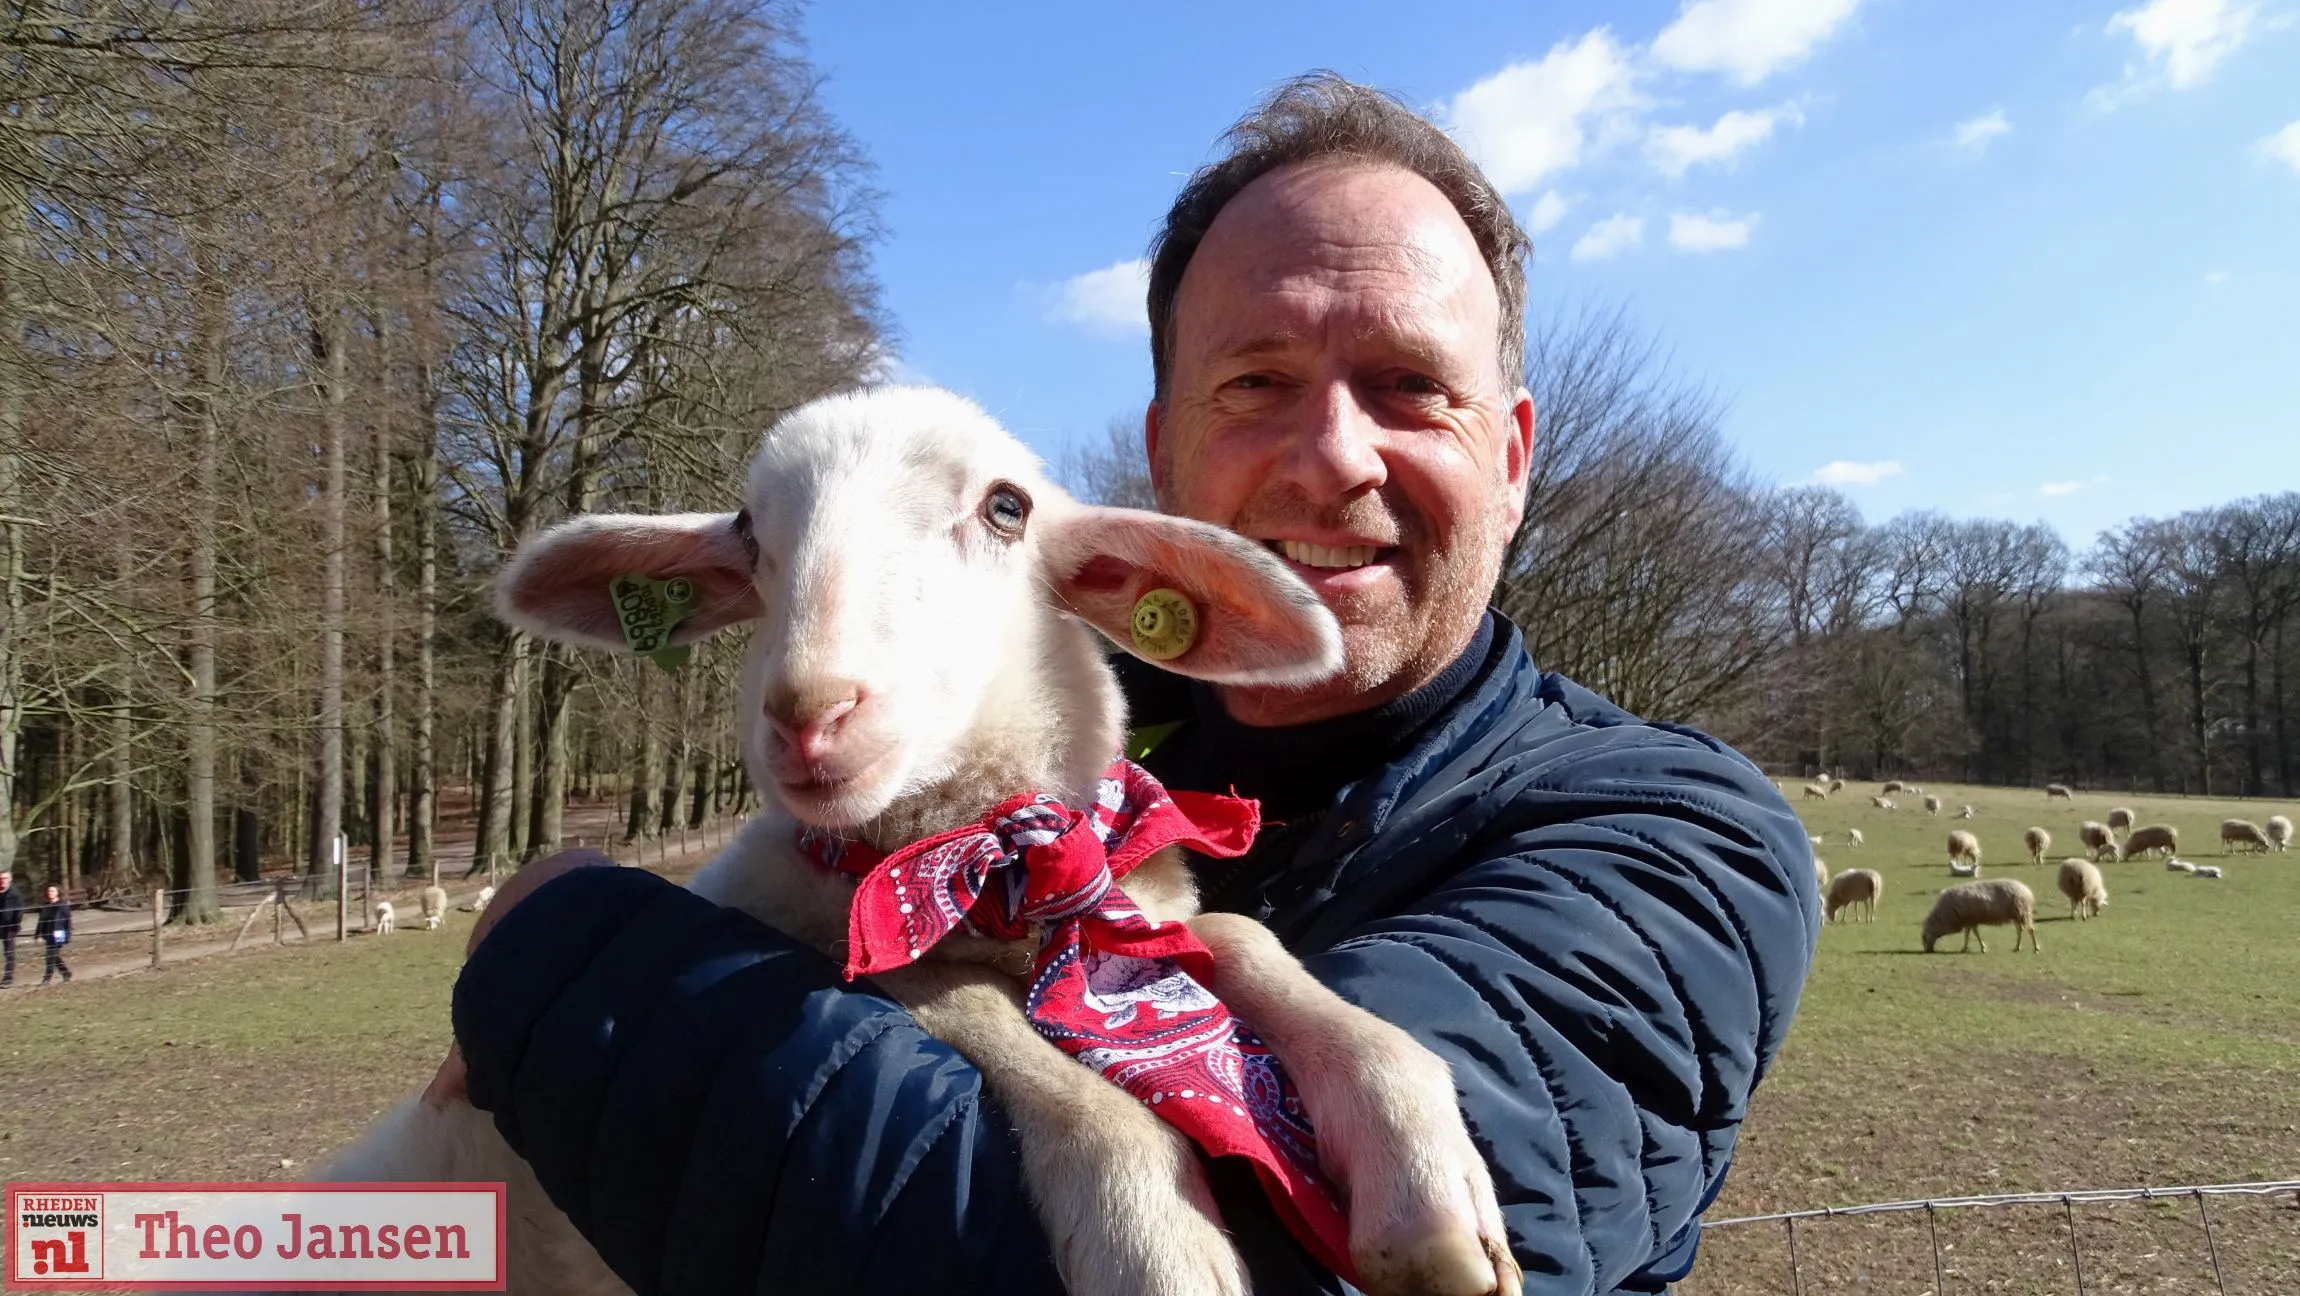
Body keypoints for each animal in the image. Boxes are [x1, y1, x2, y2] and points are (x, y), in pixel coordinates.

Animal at [1913, 883, 2042, 953]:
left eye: (1924, 937)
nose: (1926, 950)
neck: (1944, 916)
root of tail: (2027, 891)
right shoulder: (1968, 921)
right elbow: (1968, 934)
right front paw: (1964, 948)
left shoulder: (1970, 920)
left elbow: (1974, 934)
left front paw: (1982, 948)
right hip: (2016, 916)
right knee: (2020, 930)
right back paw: (2017, 947)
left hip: (2022, 912)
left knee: (2030, 930)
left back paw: (2036, 948)